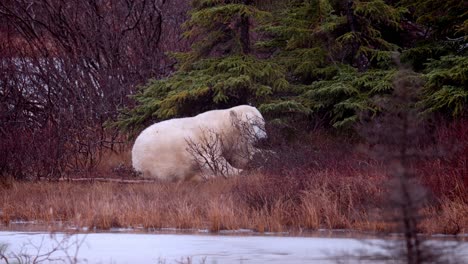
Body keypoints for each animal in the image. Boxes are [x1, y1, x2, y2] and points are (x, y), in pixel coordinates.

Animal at [132, 105, 266, 182]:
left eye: (262, 123)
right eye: (252, 123)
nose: (263, 138)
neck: (223, 127)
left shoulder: (234, 141)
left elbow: (242, 154)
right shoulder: (209, 138)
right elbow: (213, 160)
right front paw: (241, 171)